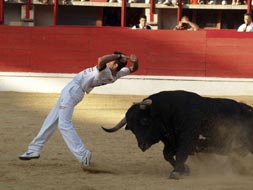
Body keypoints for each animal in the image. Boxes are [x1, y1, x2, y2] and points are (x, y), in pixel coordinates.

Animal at [101, 90, 253, 178]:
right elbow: (167, 155)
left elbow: (181, 153)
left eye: (144, 120)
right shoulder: (170, 141)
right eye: (132, 129)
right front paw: (184, 169)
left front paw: (177, 172)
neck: (168, 112)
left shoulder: (187, 138)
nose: (142, 145)